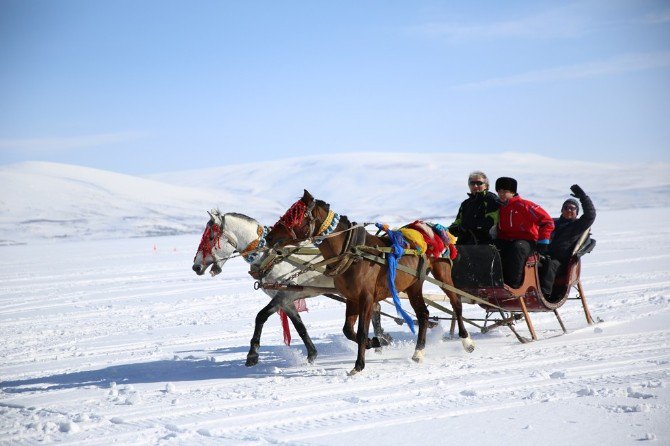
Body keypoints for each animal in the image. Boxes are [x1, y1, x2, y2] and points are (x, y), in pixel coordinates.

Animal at [192, 209, 392, 366]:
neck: (270, 255)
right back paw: (381, 341)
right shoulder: (286, 301)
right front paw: (311, 355)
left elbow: (260, 316)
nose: (196, 267)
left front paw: (252, 355)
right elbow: (300, 326)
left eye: (211, 237)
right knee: (376, 308)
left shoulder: (283, 295)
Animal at [262, 190, 472, 374]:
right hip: (414, 284)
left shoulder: (366, 298)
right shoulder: (352, 299)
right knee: (423, 314)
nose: (268, 236)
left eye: (294, 216)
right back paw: (418, 352)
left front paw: (359, 365)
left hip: (442, 273)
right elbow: (348, 331)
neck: (353, 253)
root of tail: (430, 229)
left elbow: (362, 331)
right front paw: (377, 341)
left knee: (456, 303)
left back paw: (466, 341)